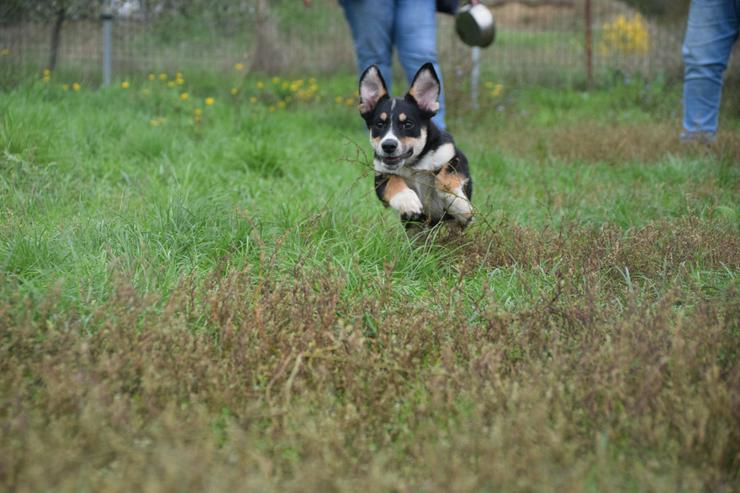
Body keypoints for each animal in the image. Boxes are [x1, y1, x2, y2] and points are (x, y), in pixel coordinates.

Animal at [358, 62, 474, 235]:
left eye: (408, 124)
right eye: (379, 124)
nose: (388, 145)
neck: (413, 164)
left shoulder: (455, 158)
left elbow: (444, 179)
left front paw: (460, 206)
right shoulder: (380, 176)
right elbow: (394, 180)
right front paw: (407, 201)